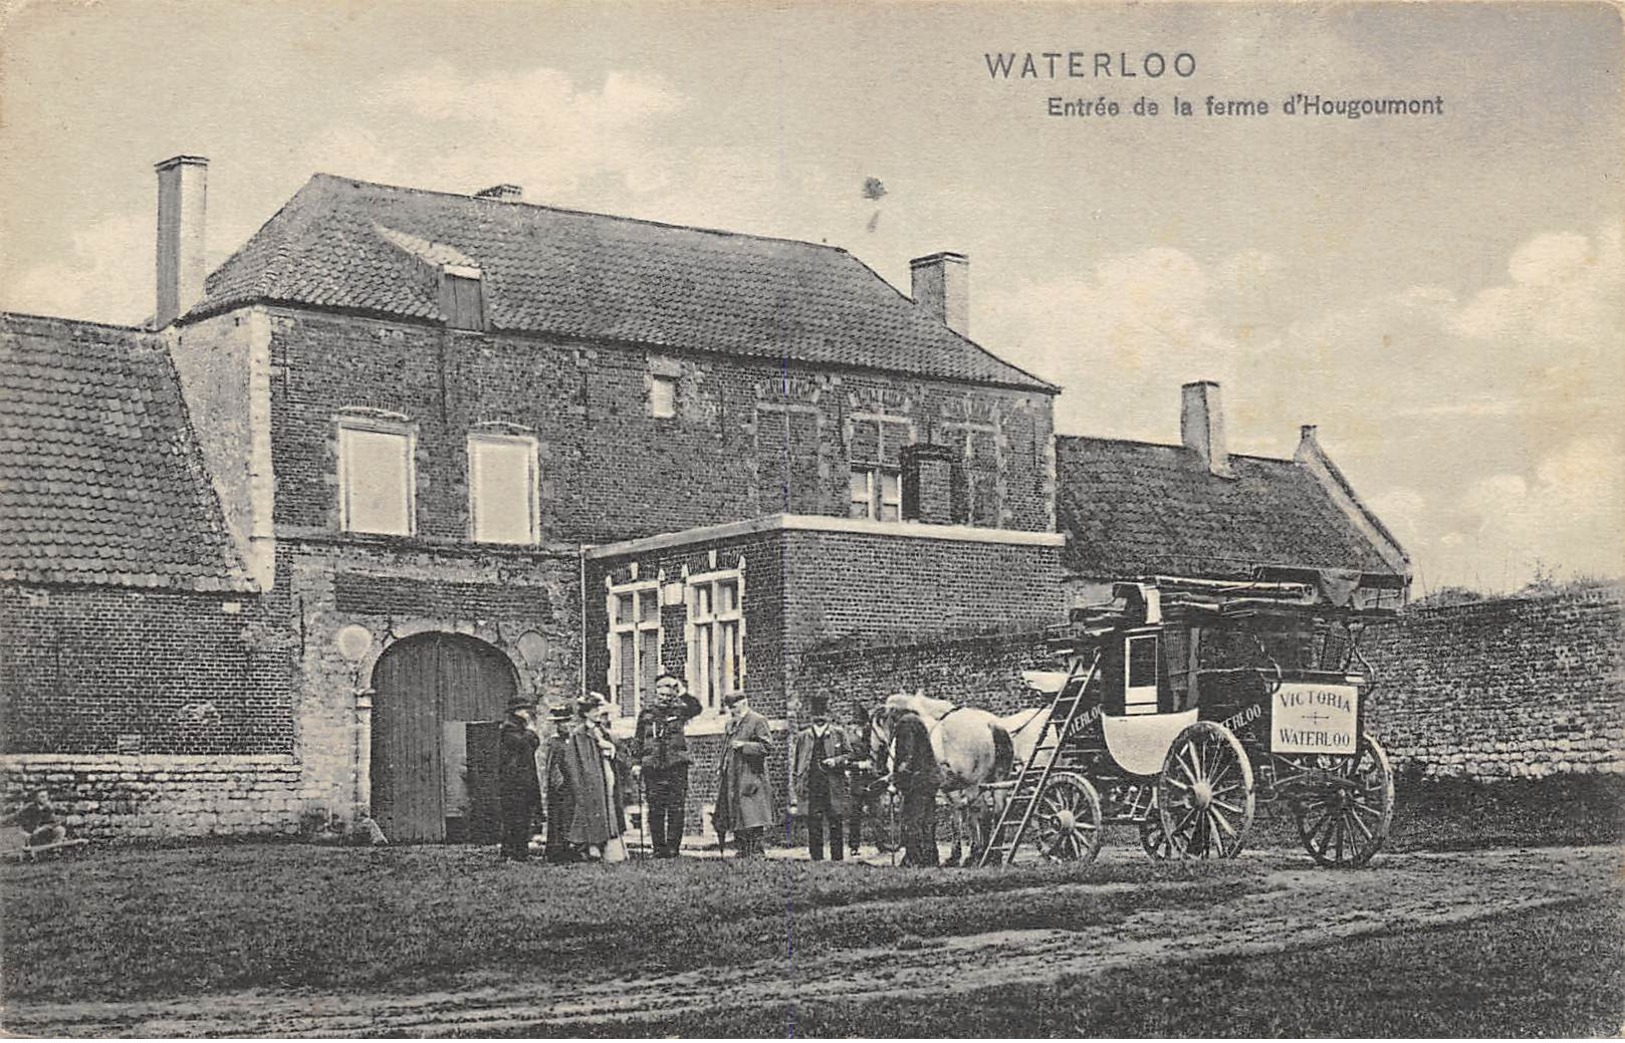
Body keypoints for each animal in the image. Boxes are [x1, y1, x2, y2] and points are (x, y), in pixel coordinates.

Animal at [877, 688, 1053, 857]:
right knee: (999, 813)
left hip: (975, 785)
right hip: (997, 782)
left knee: (984, 813)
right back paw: (994, 853)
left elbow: (952, 816)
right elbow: (954, 815)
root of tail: (991, 724)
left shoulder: (944, 789)